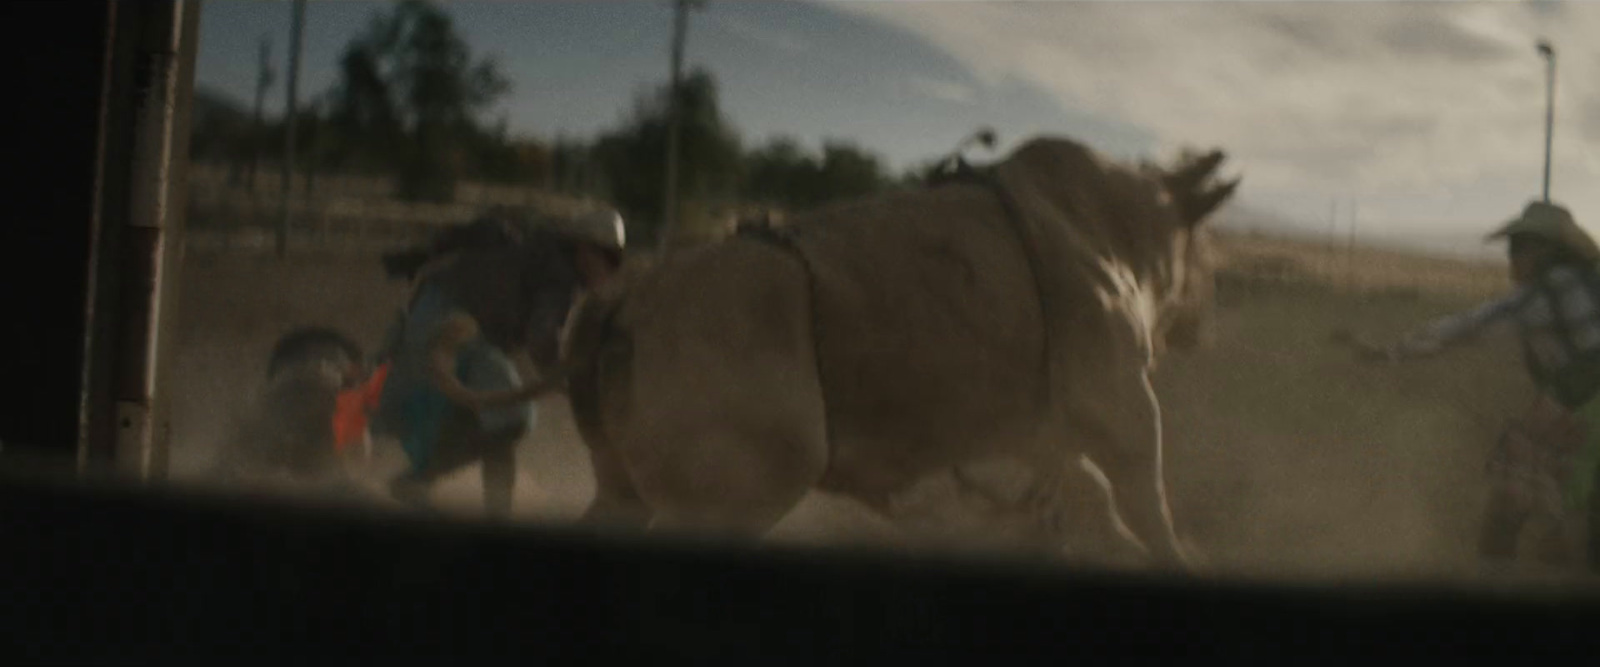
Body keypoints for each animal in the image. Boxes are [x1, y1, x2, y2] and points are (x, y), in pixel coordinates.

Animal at [560, 135, 1235, 572]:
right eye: (1207, 251)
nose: (1206, 319)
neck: (1126, 229)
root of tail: (624, 304)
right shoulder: (1122, 405)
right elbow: (1145, 502)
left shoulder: (1022, 438)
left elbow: (1080, 495)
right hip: (719, 507)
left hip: (627, 492)